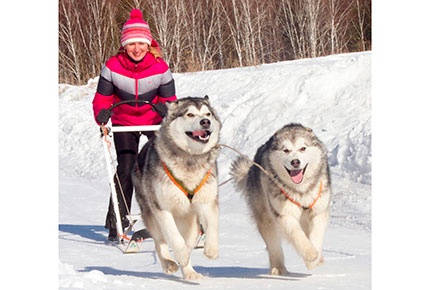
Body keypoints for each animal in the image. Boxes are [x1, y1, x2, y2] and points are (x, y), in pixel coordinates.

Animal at [133, 96, 222, 280]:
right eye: (190, 114)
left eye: (208, 114)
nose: (205, 122)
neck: (190, 159)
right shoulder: (163, 209)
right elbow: (174, 237)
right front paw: (179, 255)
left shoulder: (208, 202)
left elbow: (212, 226)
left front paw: (211, 248)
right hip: (151, 215)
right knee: (160, 242)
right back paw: (169, 263)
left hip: (191, 221)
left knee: (189, 240)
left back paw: (189, 272)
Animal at [230, 123, 330, 276]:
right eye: (286, 150)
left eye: (303, 148)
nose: (295, 162)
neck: (300, 191)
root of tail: (252, 167)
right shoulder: (284, 214)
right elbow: (297, 236)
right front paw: (310, 255)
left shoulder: (318, 211)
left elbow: (316, 235)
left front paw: (316, 258)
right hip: (267, 219)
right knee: (273, 245)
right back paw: (278, 267)